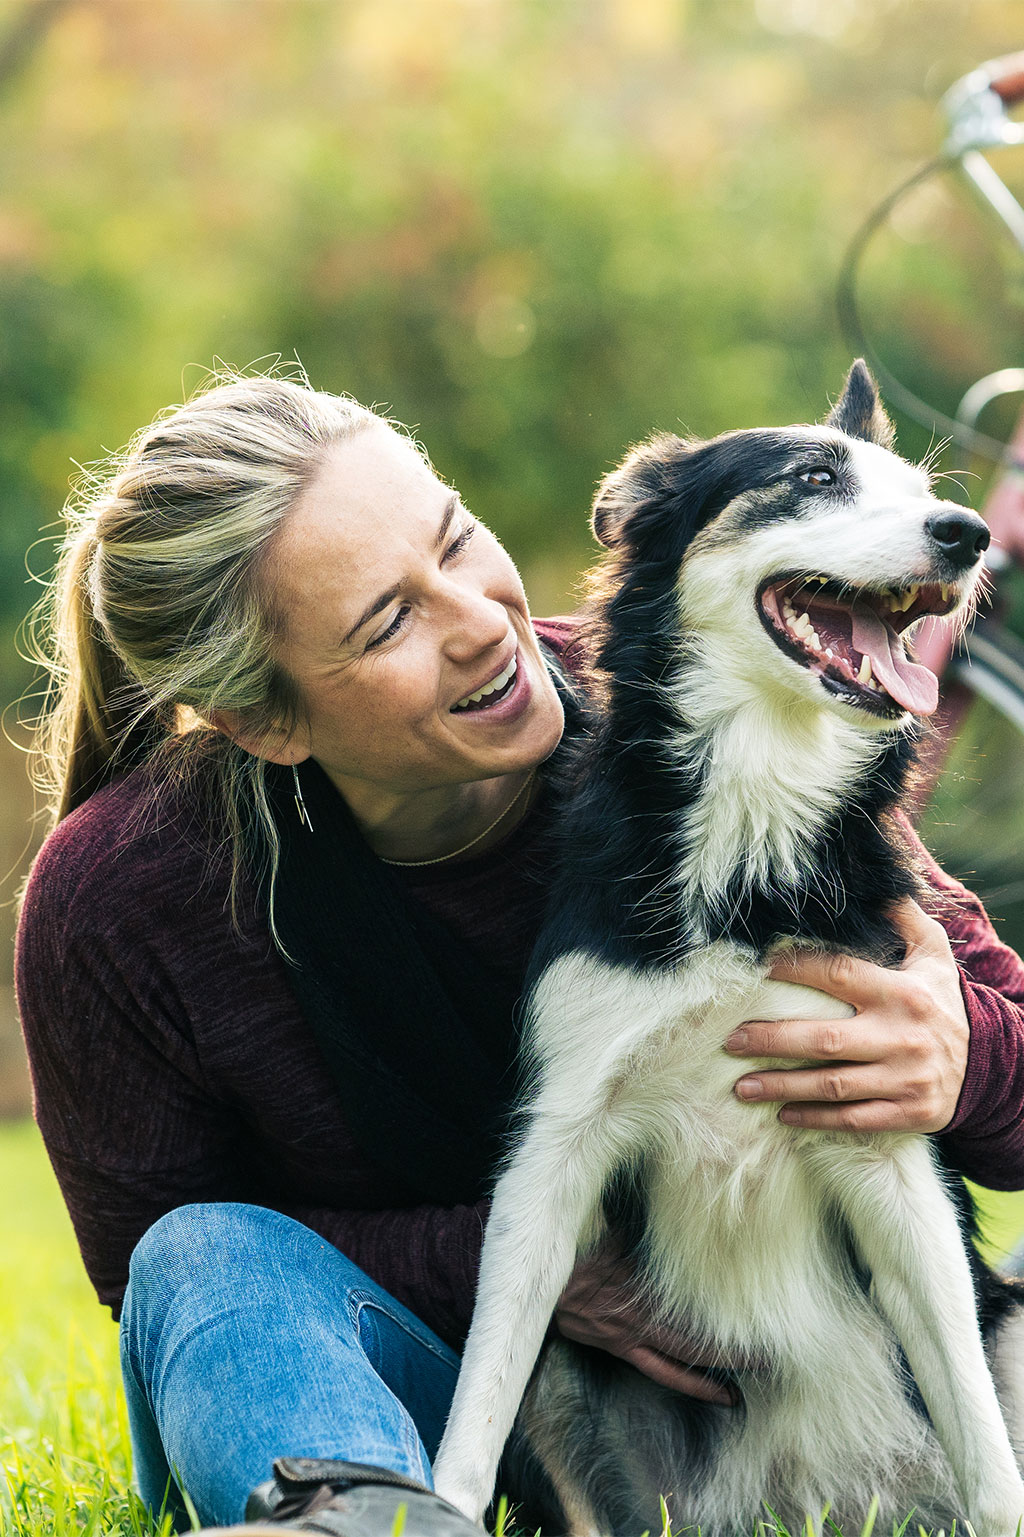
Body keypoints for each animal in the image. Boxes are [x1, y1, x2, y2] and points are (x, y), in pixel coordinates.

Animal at [433, 362, 1020, 1537]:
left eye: (922, 492)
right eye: (812, 479)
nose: (969, 534)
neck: (758, 811)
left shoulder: (890, 1153)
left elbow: (990, 1460)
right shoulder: (553, 1154)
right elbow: (471, 1416)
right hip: (572, 1366)